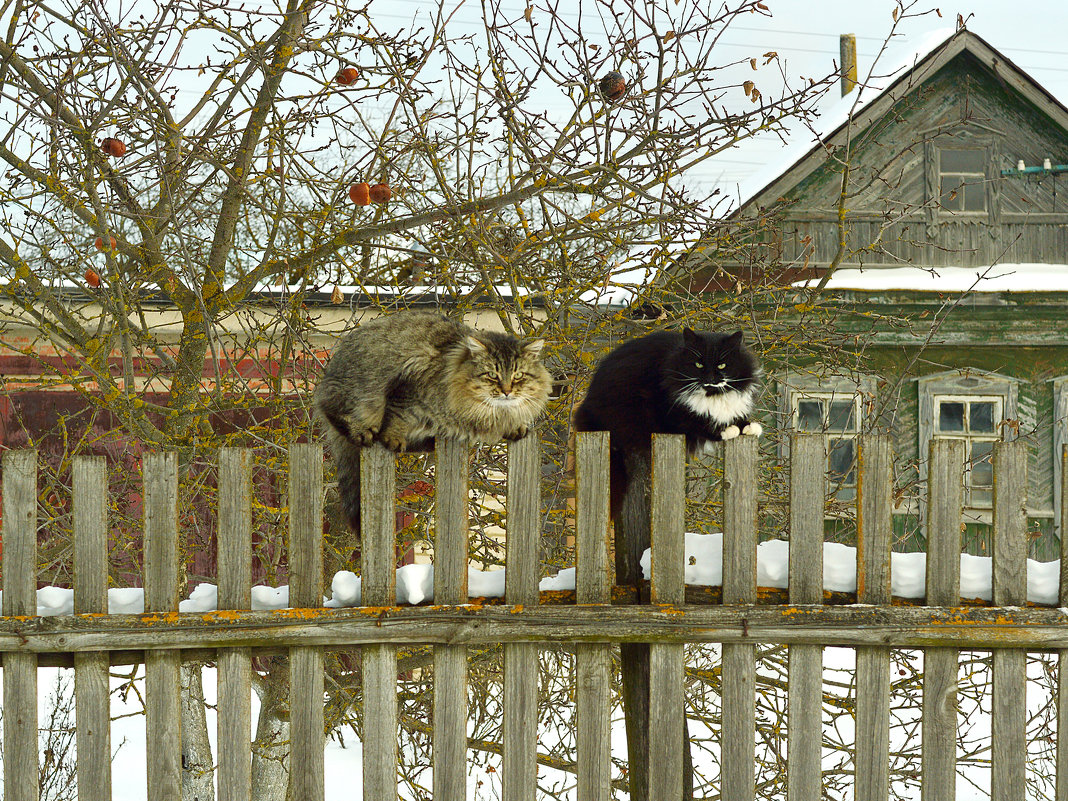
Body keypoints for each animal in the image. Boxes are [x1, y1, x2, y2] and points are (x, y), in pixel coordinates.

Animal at [311, 309, 551, 536]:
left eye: (518, 375)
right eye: (492, 375)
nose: (507, 391)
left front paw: (516, 427)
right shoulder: (407, 390)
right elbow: (396, 418)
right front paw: (392, 438)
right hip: (353, 393)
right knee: (334, 412)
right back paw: (363, 432)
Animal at [576, 328, 760, 516]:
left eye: (722, 365)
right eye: (698, 365)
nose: (709, 378)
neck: (712, 396)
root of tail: (585, 409)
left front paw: (749, 427)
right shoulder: (670, 410)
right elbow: (700, 422)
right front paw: (729, 429)